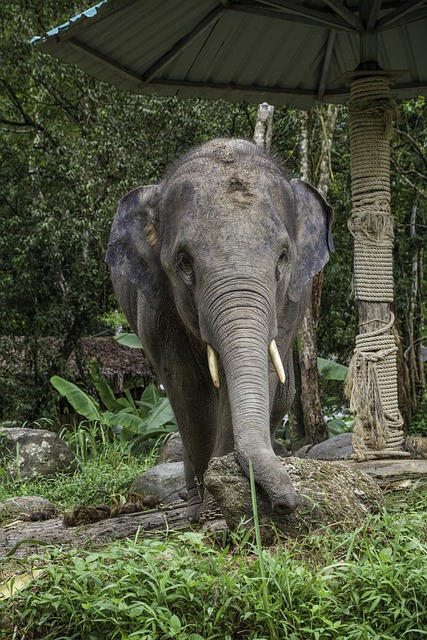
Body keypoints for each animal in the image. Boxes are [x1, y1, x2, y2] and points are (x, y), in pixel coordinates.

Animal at [107, 138, 334, 524]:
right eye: (184, 262)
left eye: (283, 257)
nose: (287, 503)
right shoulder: (156, 308)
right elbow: (187, 389)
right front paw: (207, 510)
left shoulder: (290, 303)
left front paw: (224, 499)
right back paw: (191, 503)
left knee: (281, 395)